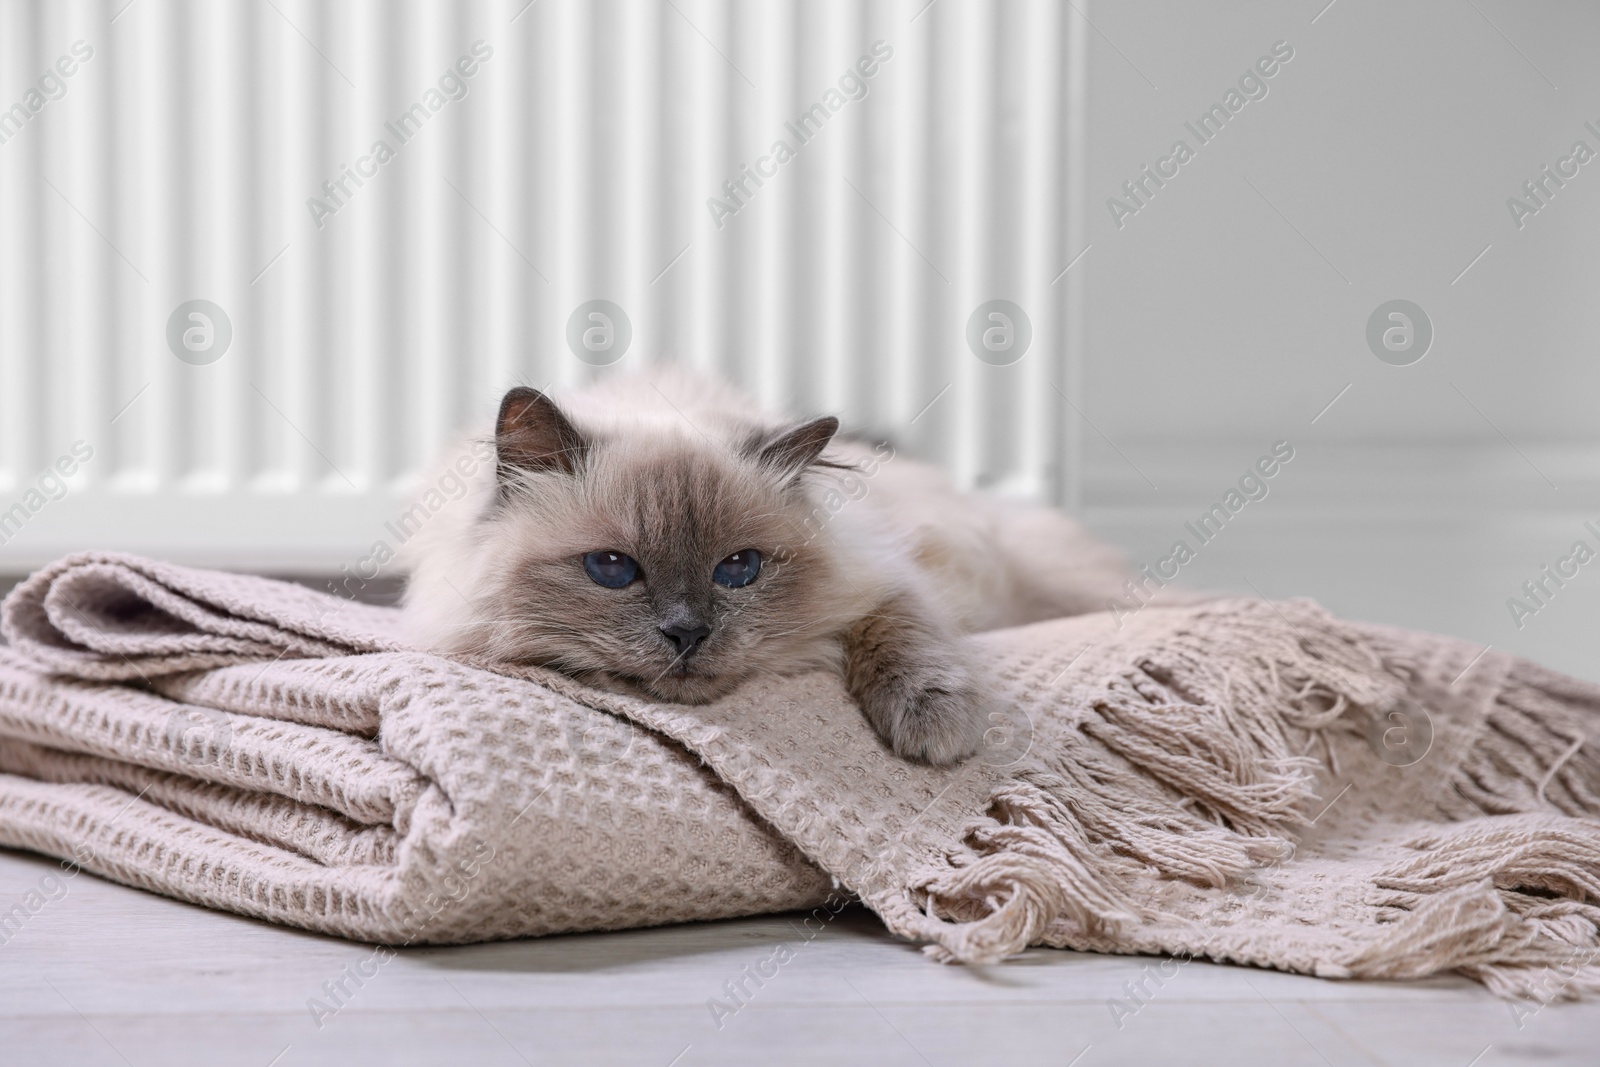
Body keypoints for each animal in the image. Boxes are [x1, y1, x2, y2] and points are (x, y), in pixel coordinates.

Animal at [400, 371, 1139, 764]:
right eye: (612, 568)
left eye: (739, 568)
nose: (688, 633)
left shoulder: (886, 573)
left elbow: (906, 636)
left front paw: (935, 727)